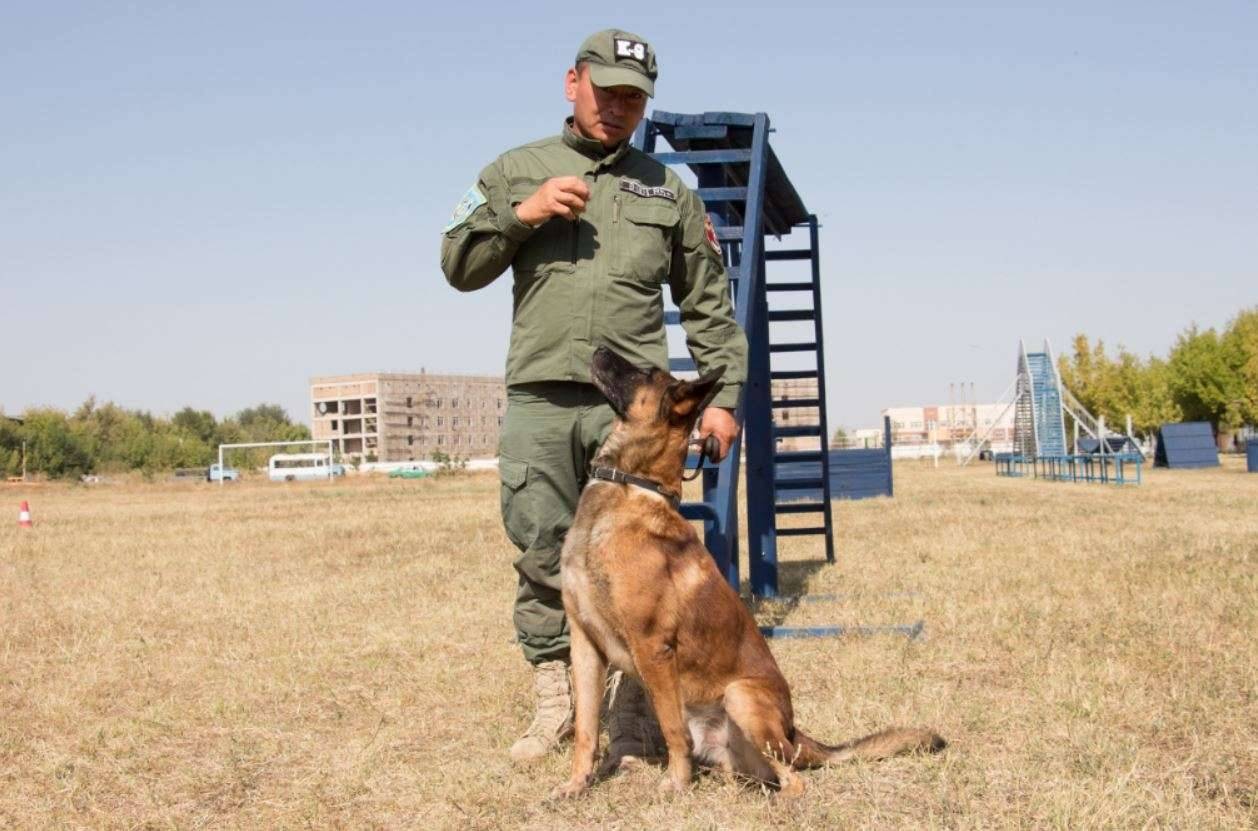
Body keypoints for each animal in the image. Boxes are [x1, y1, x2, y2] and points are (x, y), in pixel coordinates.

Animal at [551, 344, 946, 799]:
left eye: (644, 372)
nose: (597, 348)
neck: (632, 483)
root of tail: (794, 732)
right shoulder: (585, 645)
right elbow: (586, 729)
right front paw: (576, 785)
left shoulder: (653, 647)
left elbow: (672, 730)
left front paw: (675, 784)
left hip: (741, 696)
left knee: (794, 780)